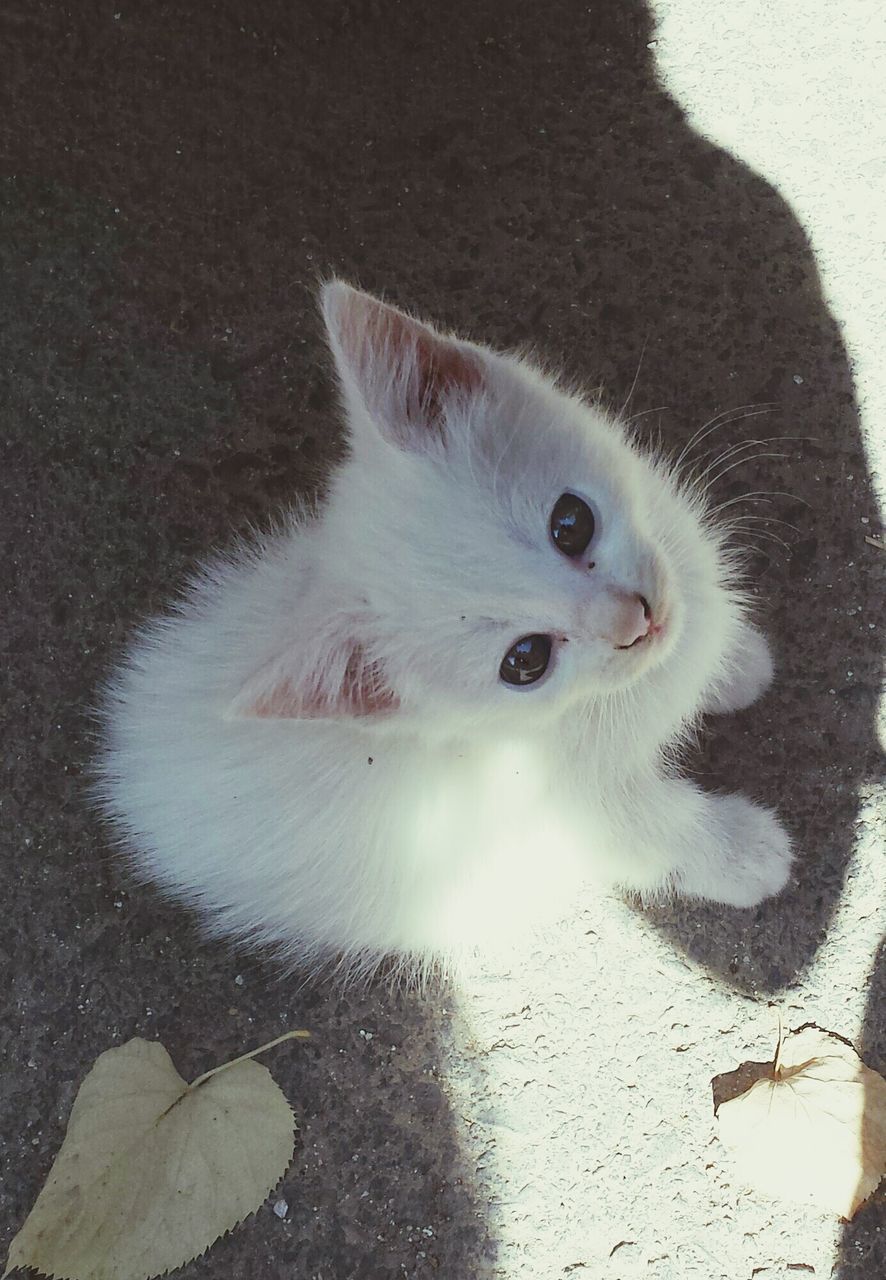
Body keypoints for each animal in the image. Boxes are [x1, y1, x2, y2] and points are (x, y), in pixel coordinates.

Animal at [93, 282, 793, 977]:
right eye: (525, 660)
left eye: (571, 523)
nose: (634, 621)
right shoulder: (558, 812)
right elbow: (654, 833)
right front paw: (747, 854)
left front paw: (737, 665)